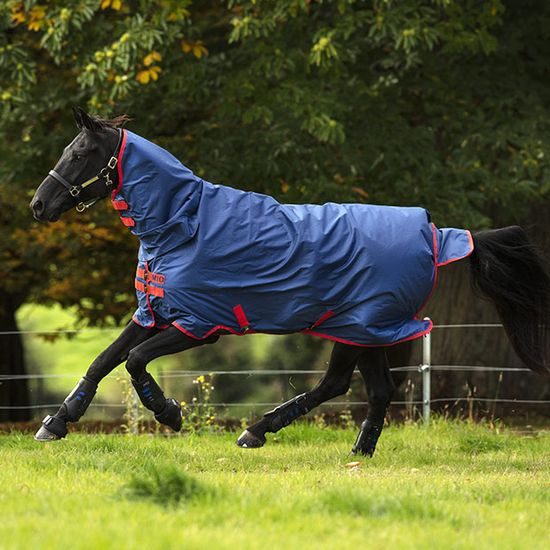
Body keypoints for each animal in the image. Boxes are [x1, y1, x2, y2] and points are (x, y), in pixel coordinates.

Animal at [29, 110, 550, 454]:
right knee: (360, 387)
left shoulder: (200, 324)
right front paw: (57, 422)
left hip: (365, 326)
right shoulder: (153, 313)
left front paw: (169, 413)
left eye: (80, 152)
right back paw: (328, 444)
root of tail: (439, 235)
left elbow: (135, 362)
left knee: (354, 386)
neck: (183, 225)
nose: (38, 205)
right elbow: (103, 361)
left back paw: (279, 435)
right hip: (360, 330)